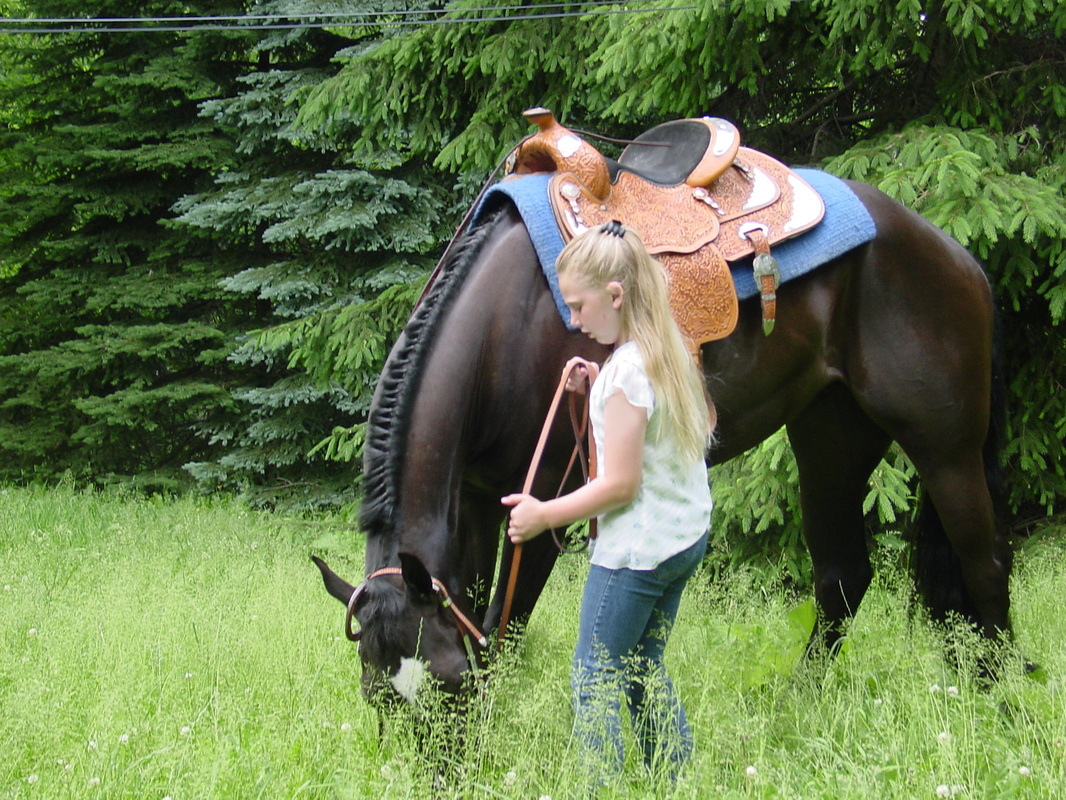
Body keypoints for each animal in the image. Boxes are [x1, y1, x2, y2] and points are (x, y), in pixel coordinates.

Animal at [311, 163, 1010, 699]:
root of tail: (959, 257)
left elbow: (504, 635)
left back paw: (998, 703)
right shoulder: (483, 498)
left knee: (986, 564)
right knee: (843, 575)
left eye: (447, 684)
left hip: (946, 448)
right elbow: (480, 619)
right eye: (379, 698)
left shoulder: (548, 504)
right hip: (831, 442)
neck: (505, 326)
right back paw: (802, 703)